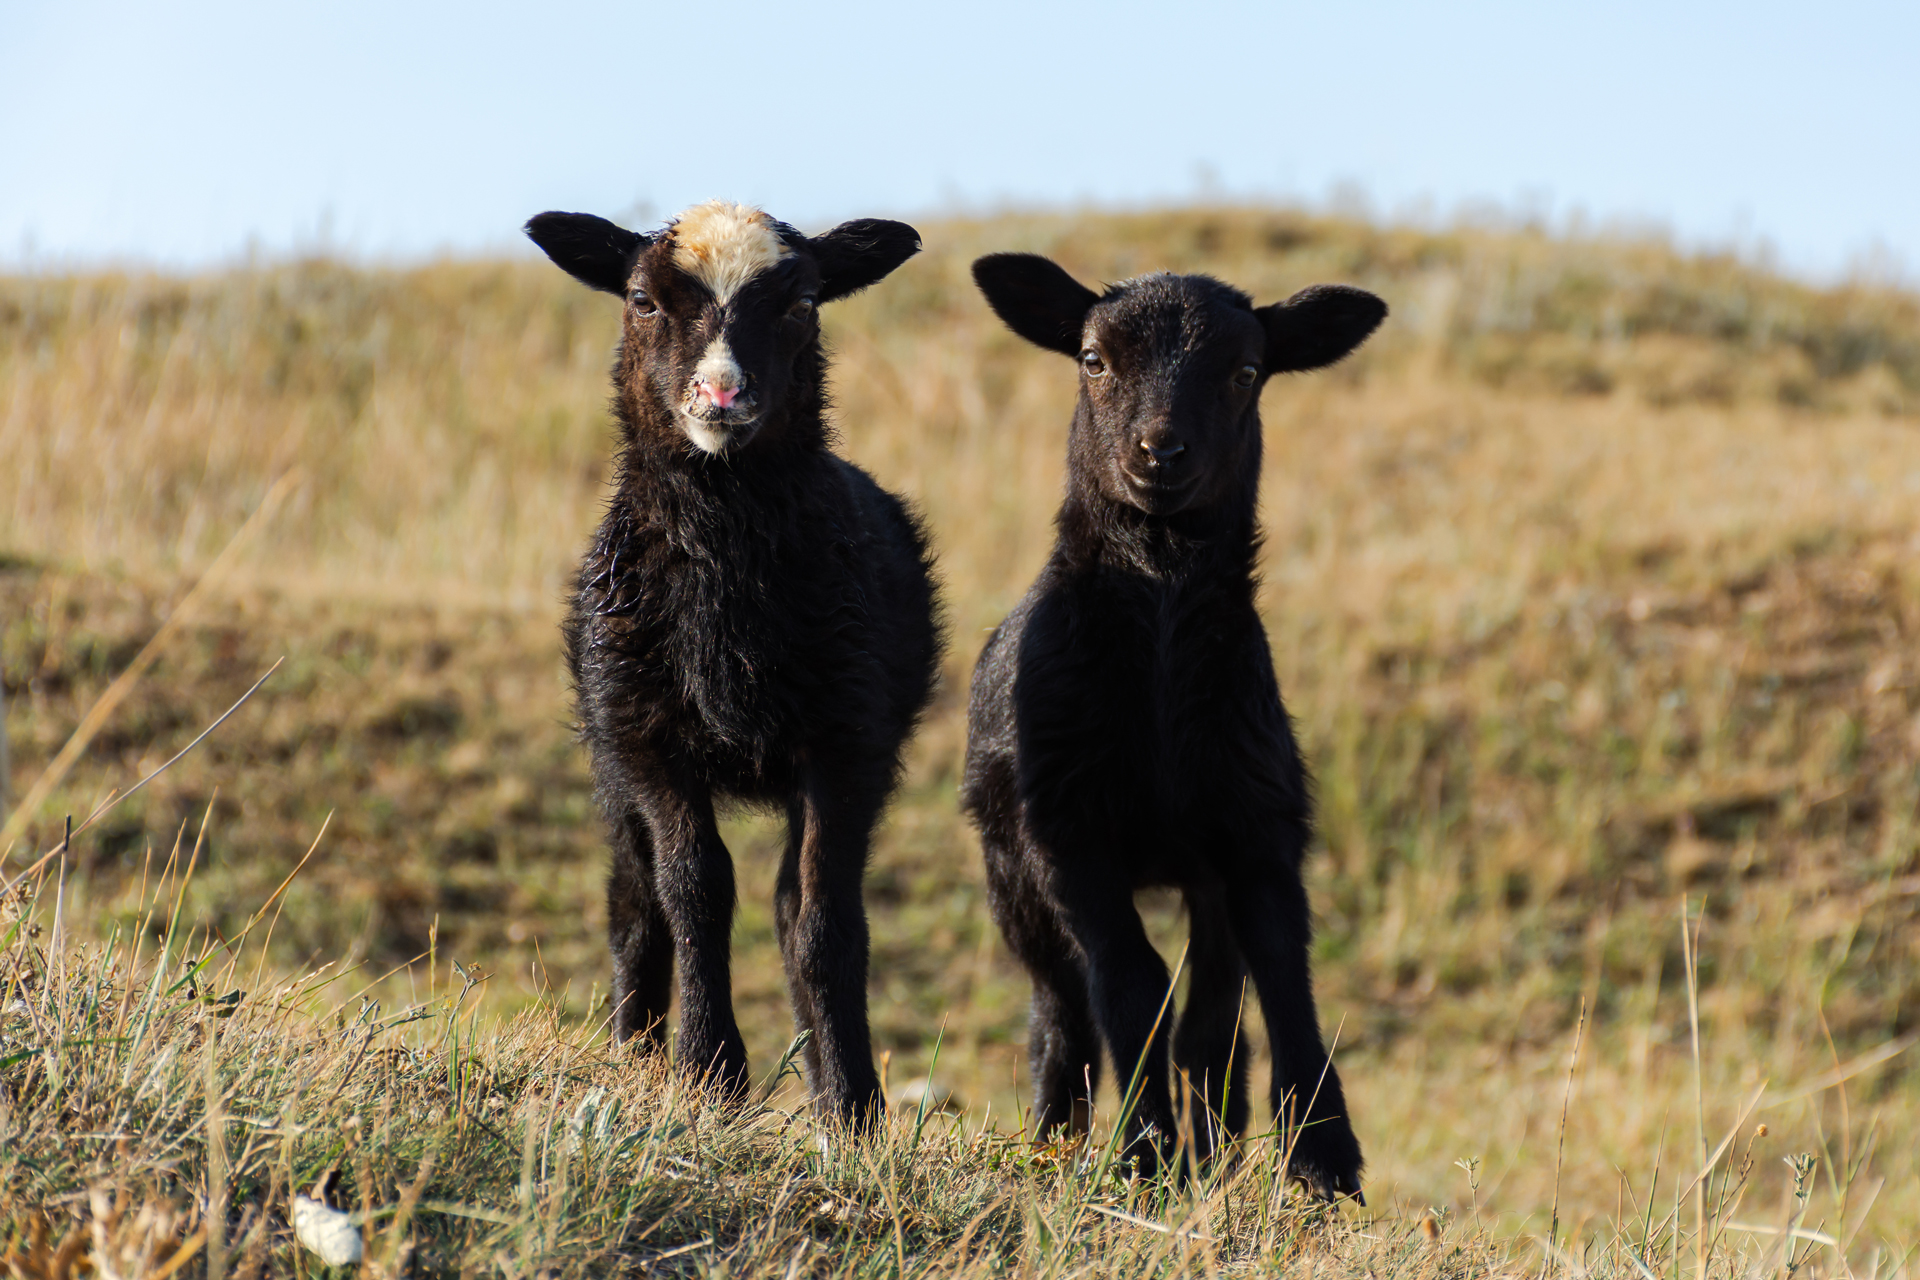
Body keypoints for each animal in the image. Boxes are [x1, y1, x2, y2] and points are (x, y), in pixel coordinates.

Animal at [524, 200, 941, 1124]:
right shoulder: (645, 737)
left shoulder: (846, 742)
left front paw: (852, 1106)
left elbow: (821, 918)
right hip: (609, 757)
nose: (722, 394)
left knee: (791, 903)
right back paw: (634, 1055)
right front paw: (708, 1071)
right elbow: (695, 891)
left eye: (802, 305)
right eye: (642, 300)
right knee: (634, 903)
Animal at [960, 254, 1385, 1197]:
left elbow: (1283, 975)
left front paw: (1323, 1157)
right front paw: (1143, 1151)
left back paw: (1214, 1152)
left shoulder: (1257, 823)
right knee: (1060, 1015)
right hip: (1011, 876)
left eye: (1246, 371)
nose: (1159, 452)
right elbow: (1131, 983)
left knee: (1214, 1021)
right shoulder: (1067, 831)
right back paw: (1058, 1140)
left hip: (1200, 870)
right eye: (1093, 360)